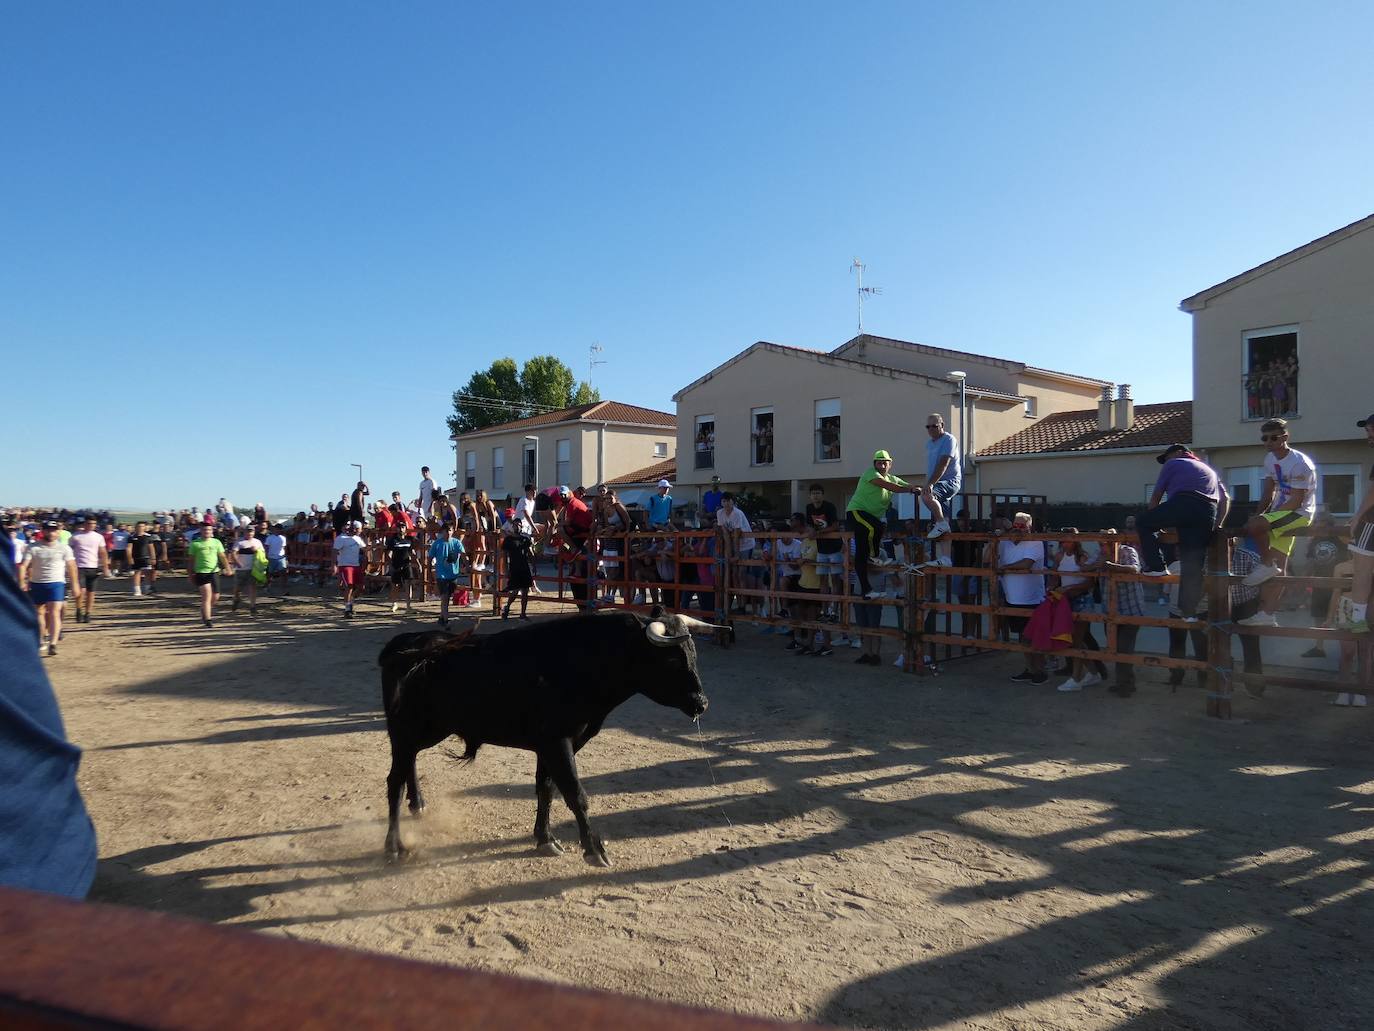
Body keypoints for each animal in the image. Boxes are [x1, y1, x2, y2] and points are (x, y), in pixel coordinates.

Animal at [379, 610, 714, 868]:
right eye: (671, 661)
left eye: (694, 655)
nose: (701, 703)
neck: (581, 663)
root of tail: (402, 645)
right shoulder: (557, 742)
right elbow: (576, 793)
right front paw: (594, 849)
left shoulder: (553, 746)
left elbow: (547, 789)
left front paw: (545, 839)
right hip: (406, 730)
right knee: (394, 781)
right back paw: (394, 847)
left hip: (424, 732)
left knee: (409, 765)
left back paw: (418, 804)